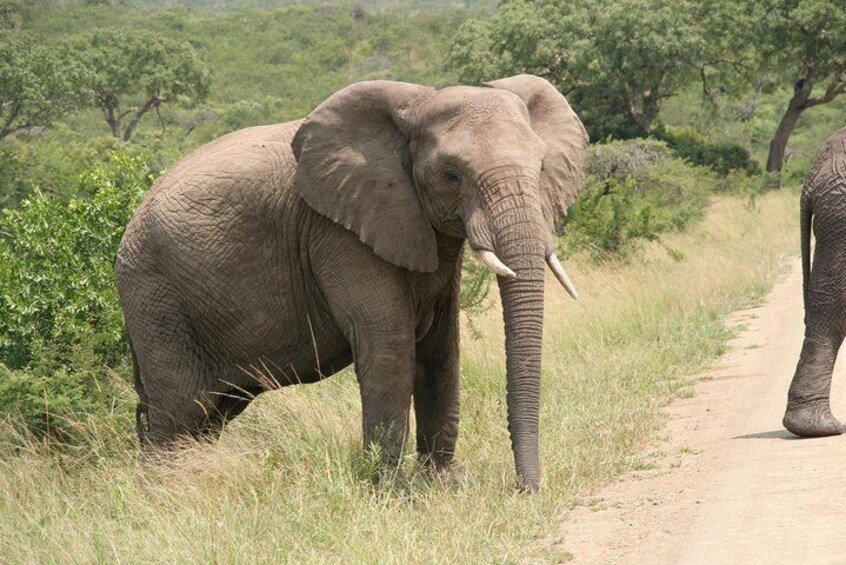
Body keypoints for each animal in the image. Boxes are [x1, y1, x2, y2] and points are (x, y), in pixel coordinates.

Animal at [117, 75, 588, 490]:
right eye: (451, 175)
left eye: (541, 167)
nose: (527, 489)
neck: (420, 103)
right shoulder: (337, 232)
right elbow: (389, 344)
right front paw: (393, 491)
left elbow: (442, 348)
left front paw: (444, 483)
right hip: (156, 299)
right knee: (178, 411)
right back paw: (167, 494)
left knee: (209, 415)